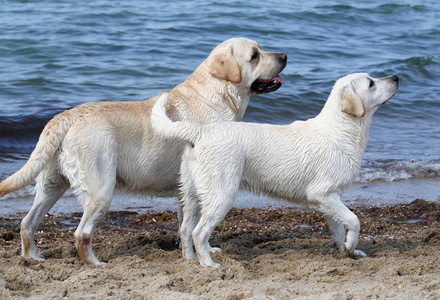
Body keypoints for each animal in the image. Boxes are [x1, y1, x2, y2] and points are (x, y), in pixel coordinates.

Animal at [0, 37, 288, 264]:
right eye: (254, 55)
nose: (284, 55)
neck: (218, 93)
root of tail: (65, 117)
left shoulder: (188, 189)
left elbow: (186, 225)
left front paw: (193, 253)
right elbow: (196, 226)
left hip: (52, 184)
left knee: (27, 223)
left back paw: (34, 258)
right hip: (101, 189)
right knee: (81, 235)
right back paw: (96, 264)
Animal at [150, 72, 398, 268]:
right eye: (371, 83)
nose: (395, 77)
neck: (342, 129)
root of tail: (201, 132)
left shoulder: (331, 198)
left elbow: (339, 227)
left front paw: (347, 251)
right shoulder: (321, 194)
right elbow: (354, 220)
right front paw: (351, 245)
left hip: (192, 194)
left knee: (185, 230)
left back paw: (191, 260)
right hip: (222, 193)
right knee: (198, 232)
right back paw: (209, 264)